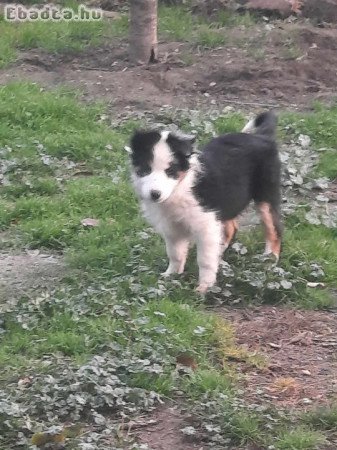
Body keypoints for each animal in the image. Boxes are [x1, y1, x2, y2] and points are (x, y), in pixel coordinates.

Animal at [129, 111, 280, 294]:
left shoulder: (205, 224)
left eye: (170, 171)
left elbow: (205, 260)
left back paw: (269, 262)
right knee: (231, 228)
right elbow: (175, 253)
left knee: (274, 230)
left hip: (266, 195)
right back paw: (220, 251)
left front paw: (203, 288)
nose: (155, 194)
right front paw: (171, 276)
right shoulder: (173, 227)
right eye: (146, 169)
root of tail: (262, 137)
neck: (180, 188)